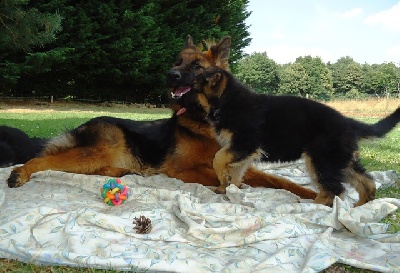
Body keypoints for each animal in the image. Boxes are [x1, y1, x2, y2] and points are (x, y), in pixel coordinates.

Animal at [3, 35, 316, 198]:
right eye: (177, 62)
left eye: (197, 65)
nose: (170, 75)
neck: (202, 121)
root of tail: (86, 123)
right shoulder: (182, 170)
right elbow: (218, 176)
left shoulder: (243, 166)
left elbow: (281, 181)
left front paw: (315, 196)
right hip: (97, 151)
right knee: (43, 160)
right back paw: (20, 172)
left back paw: (121, 172)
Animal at [189, 65, 400, 206]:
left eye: (193, 87)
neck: (226, 100)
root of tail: (348, 121)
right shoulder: (241, 150)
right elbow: (235, 171)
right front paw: (227, 188)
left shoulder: (244, 143)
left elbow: (218, 158)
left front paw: (224, 182)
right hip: (341, 160)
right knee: (366, 181)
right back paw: (360, 205)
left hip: (320, 160)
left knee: (334, 188)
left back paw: (313, 206)